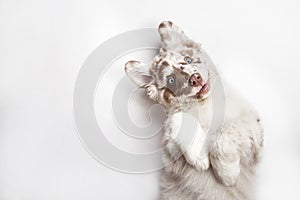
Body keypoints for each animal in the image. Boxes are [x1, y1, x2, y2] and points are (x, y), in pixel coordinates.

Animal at [124, 21, 262, 200]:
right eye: (171, 79)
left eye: (188, 59)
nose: (195, 79)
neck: (203, 103)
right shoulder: (171, 152)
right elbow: (177, 119)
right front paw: (200, 157)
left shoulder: (254, 130)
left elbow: (224, 133)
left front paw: (227, 174)